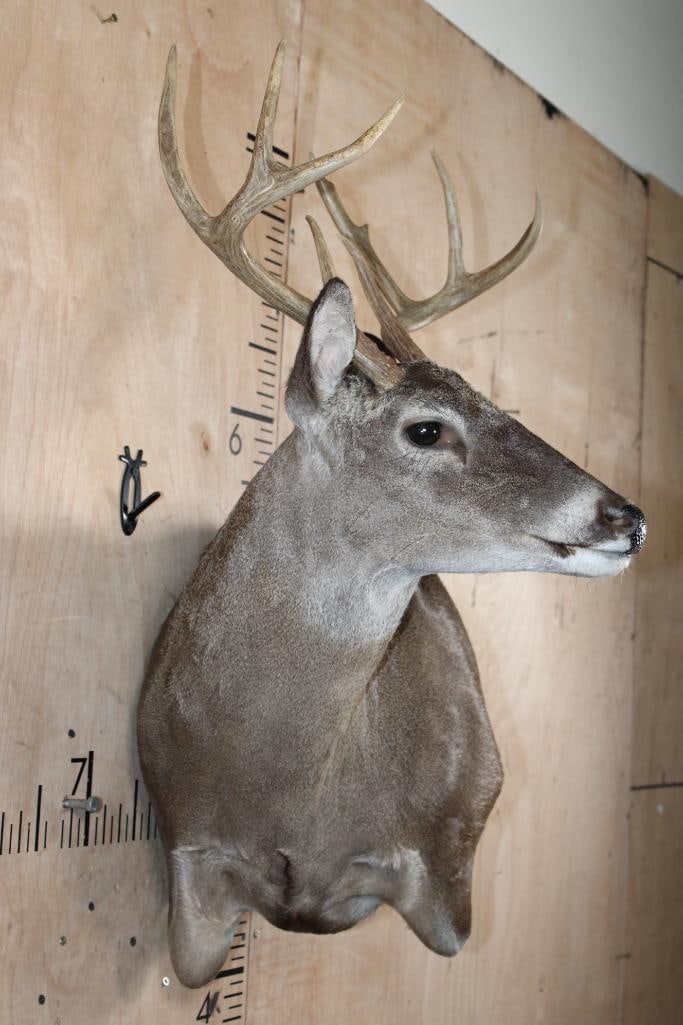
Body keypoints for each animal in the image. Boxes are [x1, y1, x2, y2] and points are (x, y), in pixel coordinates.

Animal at [137, 41, 647, 989]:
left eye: (503, 404)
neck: (291, 791)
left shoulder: (445, 869)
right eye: (425, 428)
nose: (626, 516)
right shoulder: (186, 844)